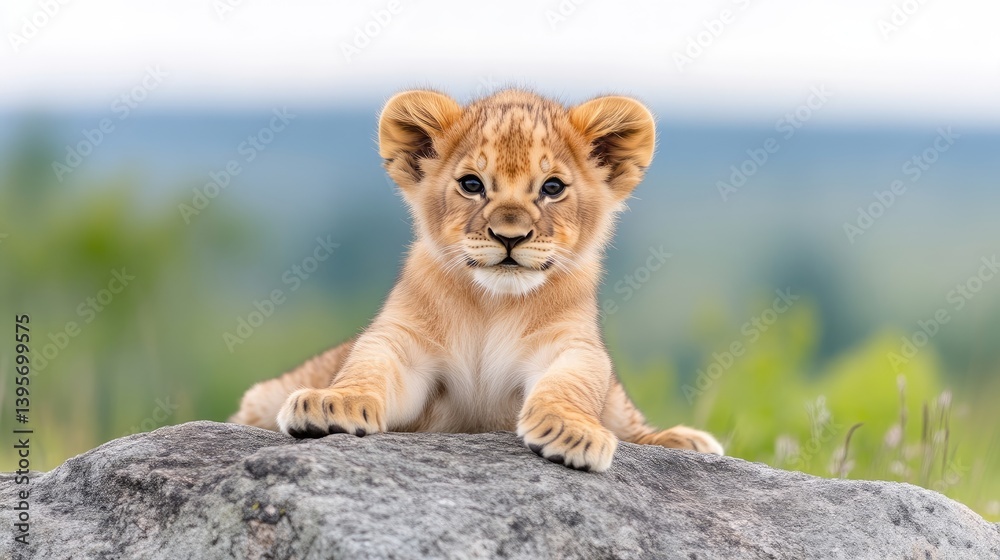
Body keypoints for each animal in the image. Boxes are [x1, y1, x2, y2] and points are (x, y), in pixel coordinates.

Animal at [229, 89, 723, 472]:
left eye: (552, 188)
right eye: (471, 184)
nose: (510, 236)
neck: (493, 304)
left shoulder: (571, 344)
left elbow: (574, 383)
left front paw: (571, 432)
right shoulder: (403, 343)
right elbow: (368, 366)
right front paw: (332, 404)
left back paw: (686, 441)